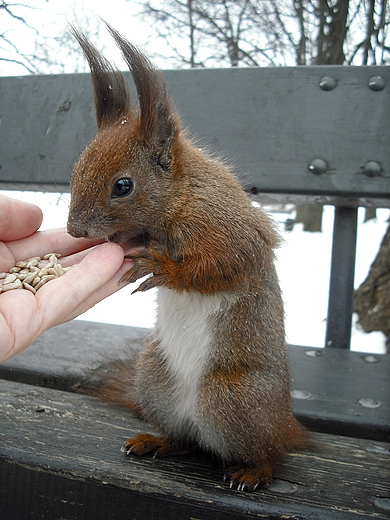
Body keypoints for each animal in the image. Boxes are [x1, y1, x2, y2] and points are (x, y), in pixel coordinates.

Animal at [68, 24, 310, 492]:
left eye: (123, 185)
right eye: (74, 171)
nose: (73, 230)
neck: (178, 198)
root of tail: (288, 426)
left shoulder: (227, 230)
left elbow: (218, 267)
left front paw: (159, 268)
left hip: (233, 397)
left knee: (270, 454)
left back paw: (254, 470)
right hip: (155, 378)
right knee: (188, 440)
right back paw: (156, 441)